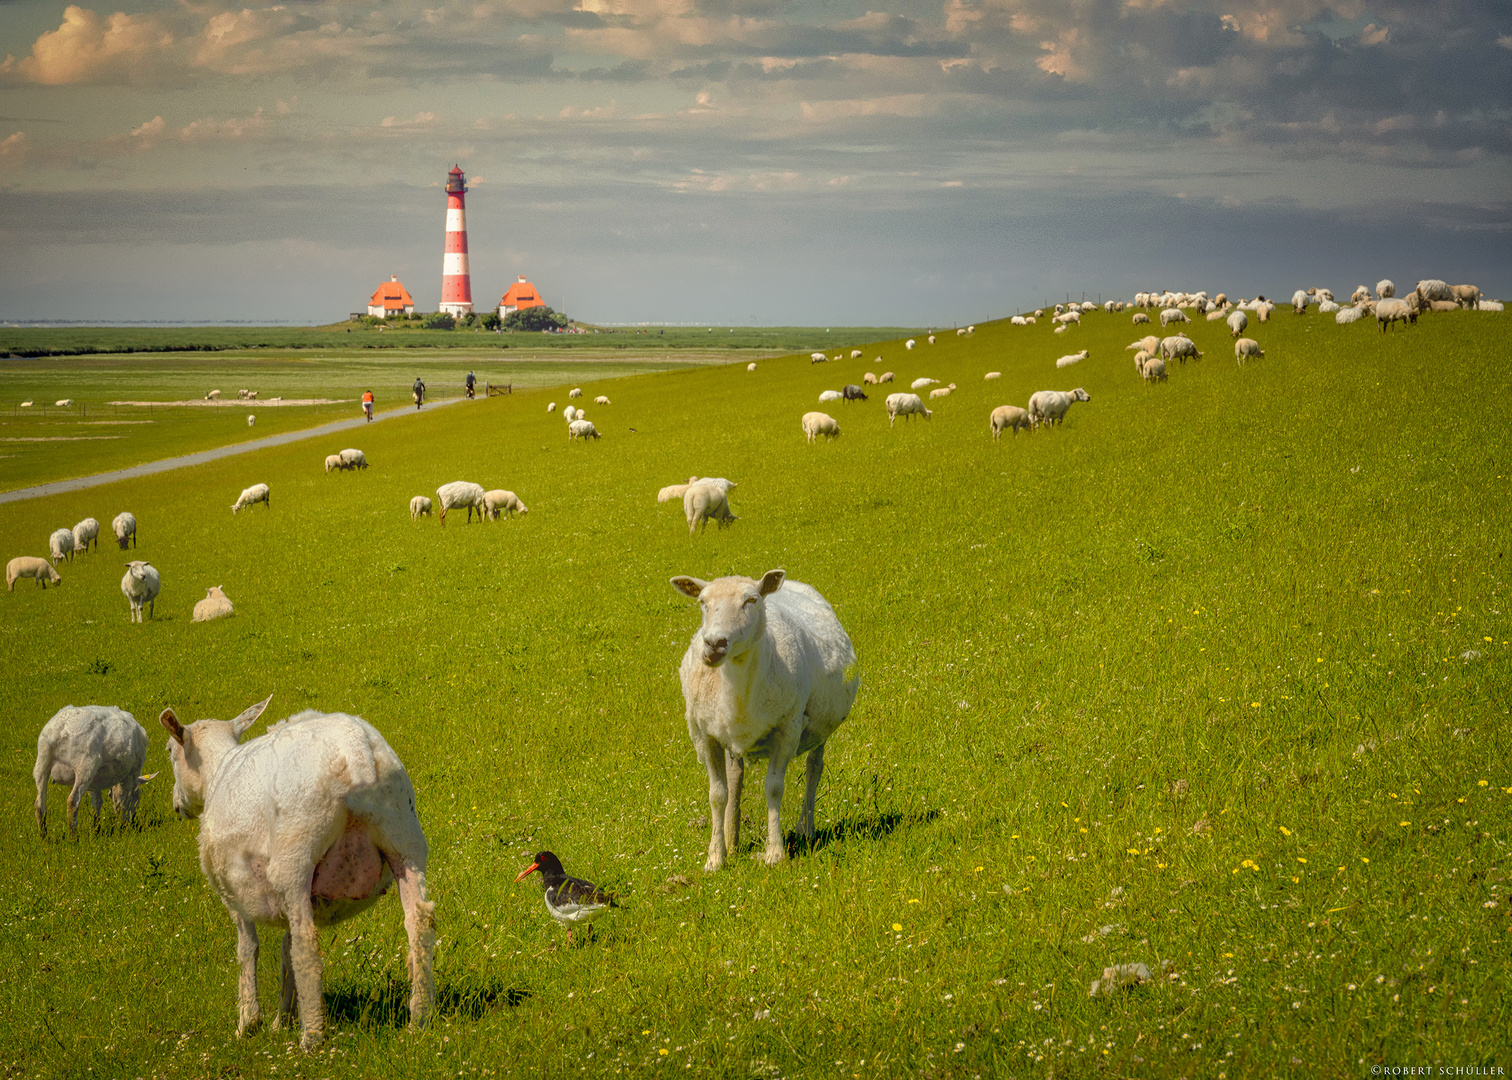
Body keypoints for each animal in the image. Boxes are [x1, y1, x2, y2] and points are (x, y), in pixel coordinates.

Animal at [33, 701, 151, 834]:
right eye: (138, 797)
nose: (132, 820)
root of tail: (60, 729)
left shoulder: (96, 781)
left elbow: (97, 802)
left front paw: (96, 829)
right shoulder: (131, 773)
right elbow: (124, 801)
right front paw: (123, 826)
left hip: (42, 762)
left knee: (39, 804)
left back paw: (44, 836)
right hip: (84, 765)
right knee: (72, 802)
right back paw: (72, 836)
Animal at [160, 692, 432, 1046]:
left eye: (169, 751)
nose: (177, 804)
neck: (217, 771)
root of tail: (357, 751)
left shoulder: (233, 893)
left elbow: (249, 949)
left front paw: (249, 1023)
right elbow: (285, 948)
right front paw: (282, 1019)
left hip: (295, 856)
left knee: (306, 940)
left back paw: (312, 1037)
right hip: (404, 837)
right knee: (419, 923)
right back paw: (419, 1020)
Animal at [668, 568, 858, 871]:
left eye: (751, 600)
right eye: (702, 602)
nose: (714, 644)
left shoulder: (787, 728)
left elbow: (774, 788)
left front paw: (775, 852)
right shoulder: (704, 735)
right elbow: (718, 794)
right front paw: (716, 858)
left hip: (821, 727)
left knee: (814, 768)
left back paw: (806, 828)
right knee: (736, 776)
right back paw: (732, 839)